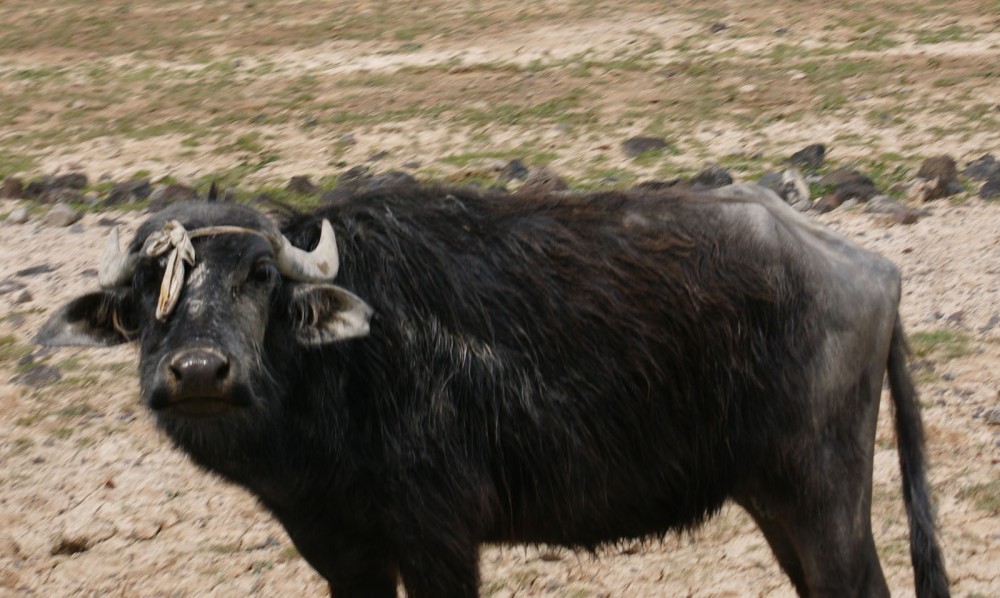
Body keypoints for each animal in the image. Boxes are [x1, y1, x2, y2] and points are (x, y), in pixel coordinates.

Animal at [37, 180, 944, 596]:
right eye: (148, 285)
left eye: (260, 274)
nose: (198, 372)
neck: (336, 376)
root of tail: (872, 269)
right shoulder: (338, 550)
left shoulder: (440, 540)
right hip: (775, 501)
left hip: (824, 497)